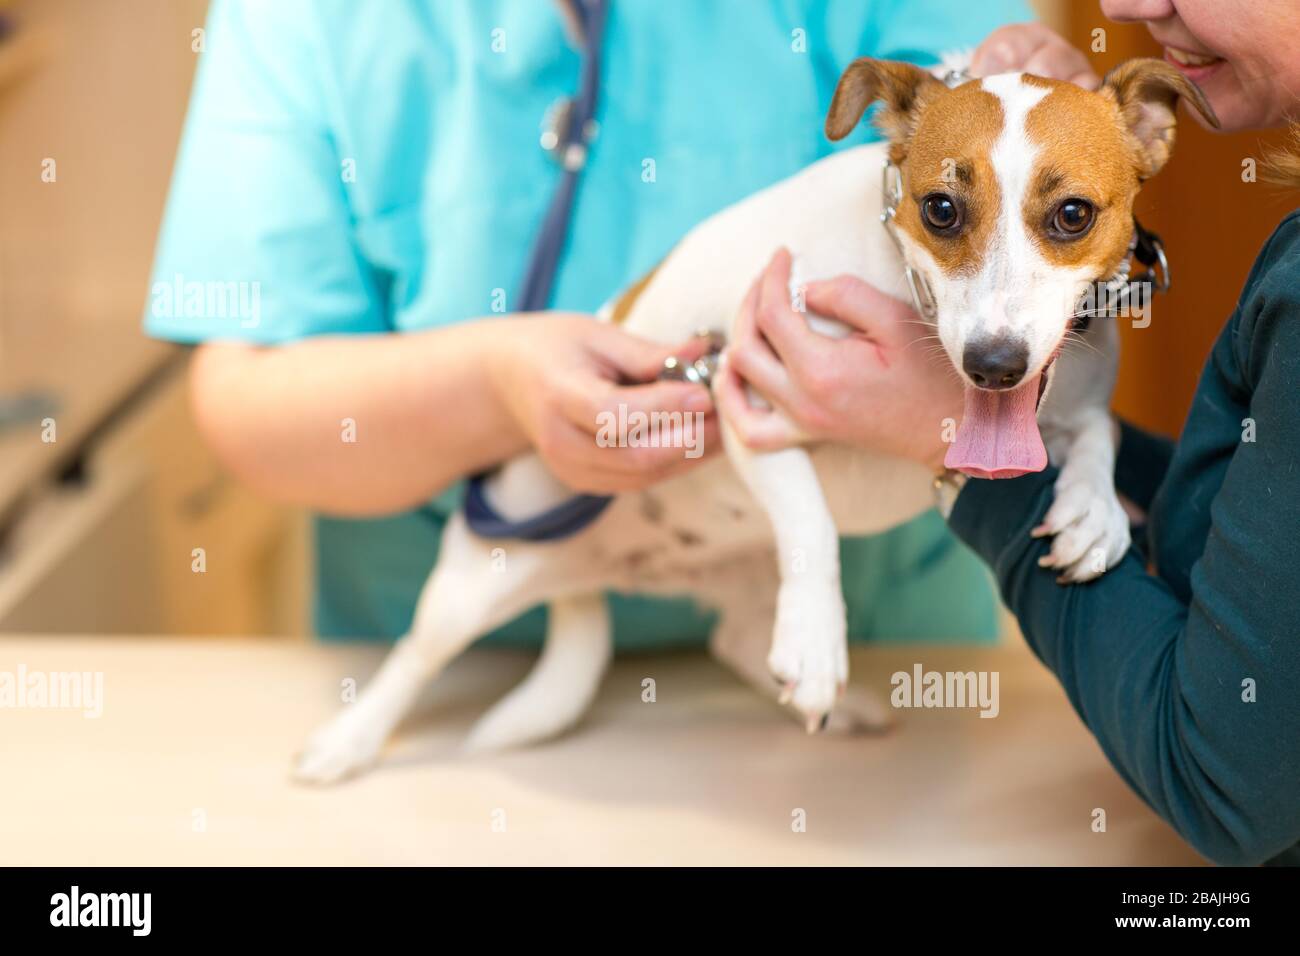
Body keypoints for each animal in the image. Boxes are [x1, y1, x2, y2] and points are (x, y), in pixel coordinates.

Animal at [297, 54, 1216, 785]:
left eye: (1073, 215)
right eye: (940, 209)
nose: (994, 364)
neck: (896, 287)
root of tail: (601, 575)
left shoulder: (1076, 395)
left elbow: (1097, 436)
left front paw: (1092, 512)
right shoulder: (746, 399)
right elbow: (809, 519)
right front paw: (815, 639)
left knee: (734, 642)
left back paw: (839, 708)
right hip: (473, 581)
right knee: (412, 660)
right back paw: (345, 743)